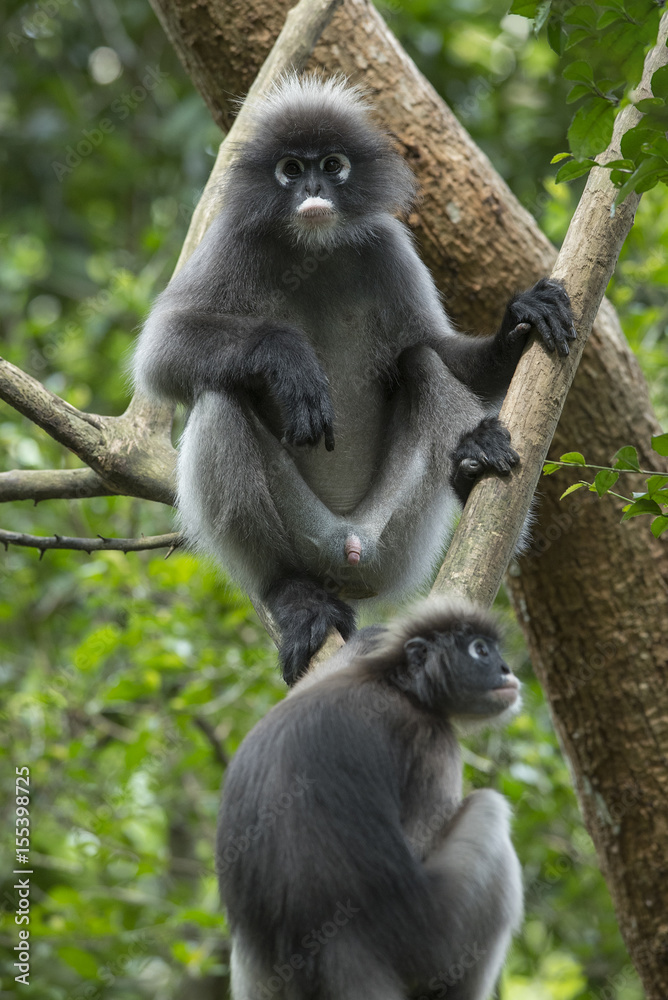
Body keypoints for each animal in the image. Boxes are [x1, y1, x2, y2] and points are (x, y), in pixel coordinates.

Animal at [133, 74, 575, 683]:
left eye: (333, 164)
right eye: (291, 168)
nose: (314, 186)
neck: (314, 250)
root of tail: (347, 543)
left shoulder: (388, 245)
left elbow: (437, 349)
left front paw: (518, 324)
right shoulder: (234, 238)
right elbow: (161, 353)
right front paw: (289, 359)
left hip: (396, 543)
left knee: (418, 362)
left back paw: (476, 466)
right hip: (308, 537)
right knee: (220, 394)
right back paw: (293, 596)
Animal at [217, 595, 524, 1000]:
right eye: (481, 650)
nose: (505, 669)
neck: (395, 684)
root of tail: (336, 946)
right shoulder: (432, 740)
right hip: (437, 936)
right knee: (488, 809)